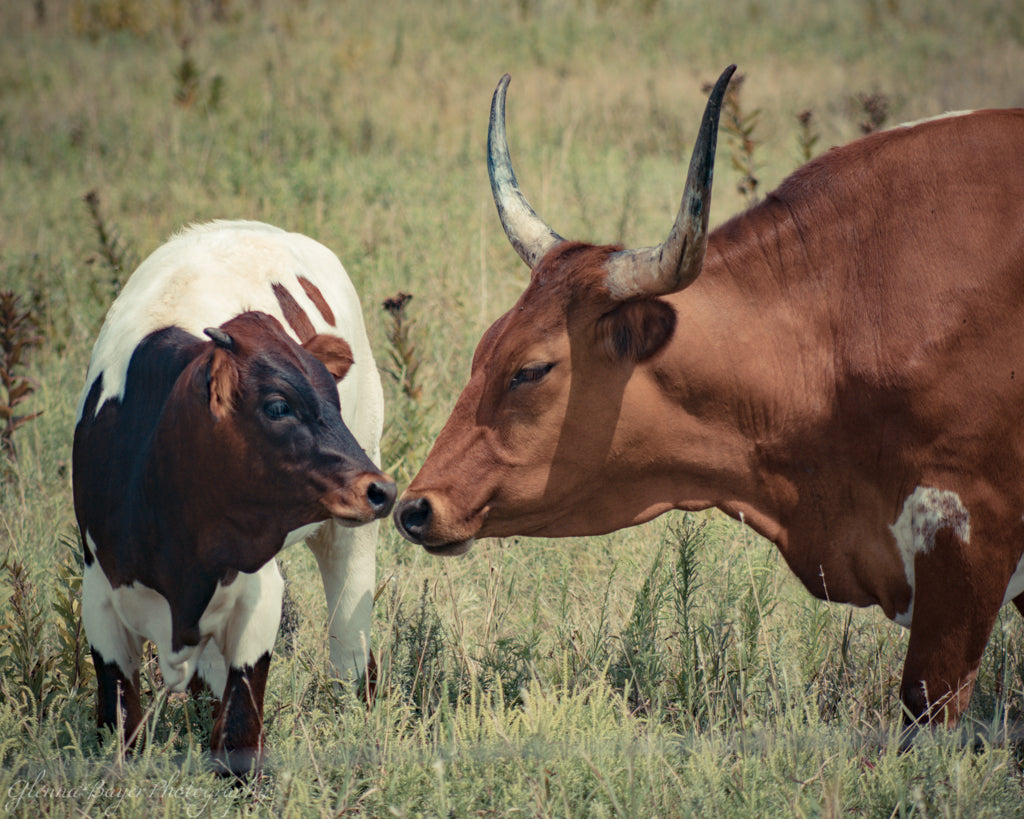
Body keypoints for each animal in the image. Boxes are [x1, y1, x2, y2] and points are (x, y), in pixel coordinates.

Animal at [73, 220, 396, 774]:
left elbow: (242, 718)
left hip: (352, 516)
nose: (379, 489)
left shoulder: (258, 591)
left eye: (332, 400)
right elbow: (120, 719)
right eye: (278, 406)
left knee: (348, 623)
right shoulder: (98, 594)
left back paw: (355, 700)